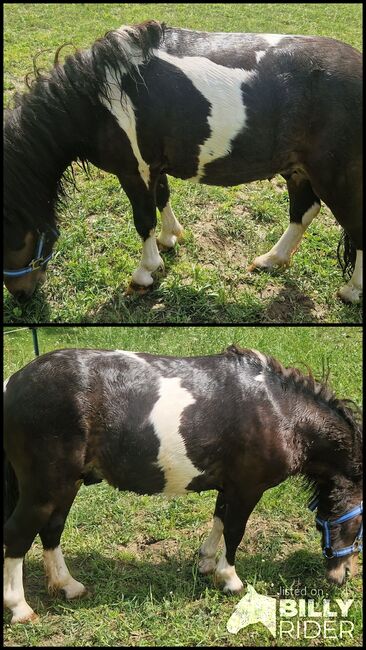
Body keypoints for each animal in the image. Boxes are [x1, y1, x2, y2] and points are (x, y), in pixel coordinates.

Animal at [2, 20, 364, 302]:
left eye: (14, 236)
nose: (21, 295)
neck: (99, 100)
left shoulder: (134, 171)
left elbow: (143, 219)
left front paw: (144, 274)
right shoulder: (152, 167)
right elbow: (162, 198)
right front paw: (170, 238)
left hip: (336, 177)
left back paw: (352, 291)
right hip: (299, 170)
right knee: (304, 211)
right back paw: (271, 259)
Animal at [2, 344, 364, 624]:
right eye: (360, 522)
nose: (343, 575)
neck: (281, 411)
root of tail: (13, 383)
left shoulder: (229, 486)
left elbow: (219, 521)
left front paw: (206, 562)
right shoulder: (248, 488)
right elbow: (235, 531)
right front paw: (230, 579)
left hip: (66, 485)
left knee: (52, 530)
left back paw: (67, 585)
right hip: (44, 489)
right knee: (19, 534)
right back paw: (20, 608)